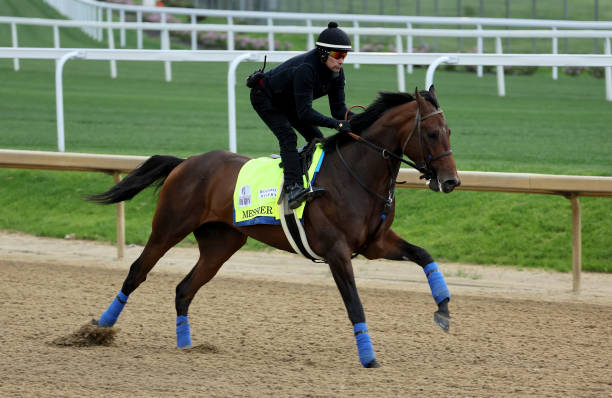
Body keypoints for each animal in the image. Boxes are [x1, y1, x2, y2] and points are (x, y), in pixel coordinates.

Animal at [89, 85, 460, 368]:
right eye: (431, 133)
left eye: (449, 132)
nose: (451, 181)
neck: (356, 174)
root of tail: (186, 162)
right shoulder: (337, 251)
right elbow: (354, 302)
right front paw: (368, 356)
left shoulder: (375, 244)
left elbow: (424, 255)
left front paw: (443, 308)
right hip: (169, 227)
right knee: (138, 271)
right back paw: (98, 328)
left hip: (220, 244)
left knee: (184, 288)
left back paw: (186, 343)